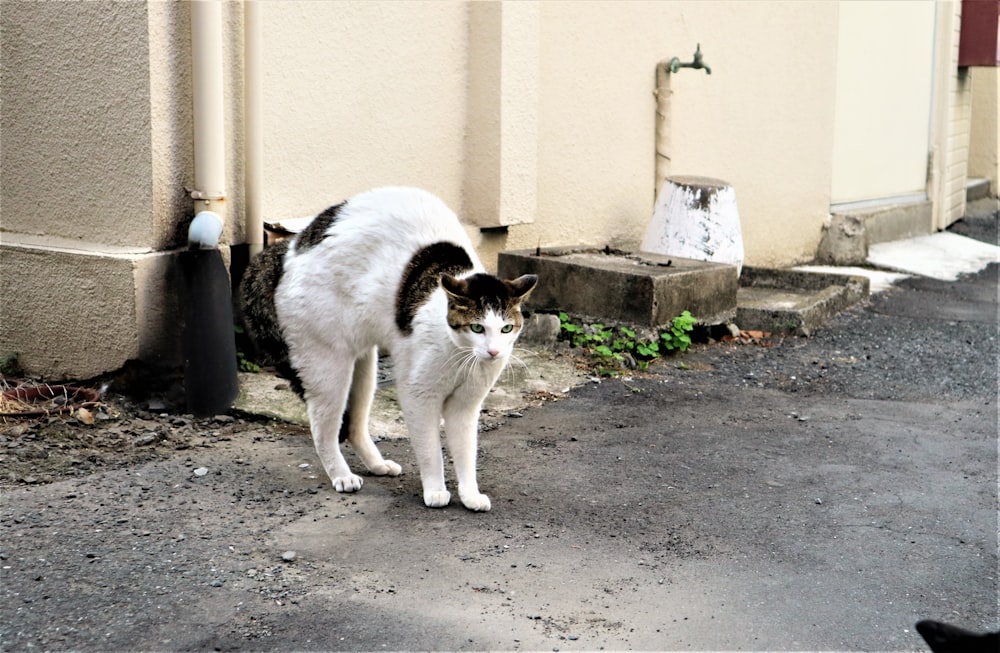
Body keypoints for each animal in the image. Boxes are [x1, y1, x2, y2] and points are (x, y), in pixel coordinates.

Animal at [240, 186, 540, 512]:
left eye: (506, 329)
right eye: (477, 328)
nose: (494, 352)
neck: (460, 355)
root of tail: (289, 249)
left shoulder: (466, 405)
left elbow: (465, 452)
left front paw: (470, 494)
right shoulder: (419, 395)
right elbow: (430, 449)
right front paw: (435, 490)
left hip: (364, 369)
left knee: (355, 426)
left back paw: (377, 465)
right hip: (328, 367)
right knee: (322, 431)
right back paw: (342, 476)